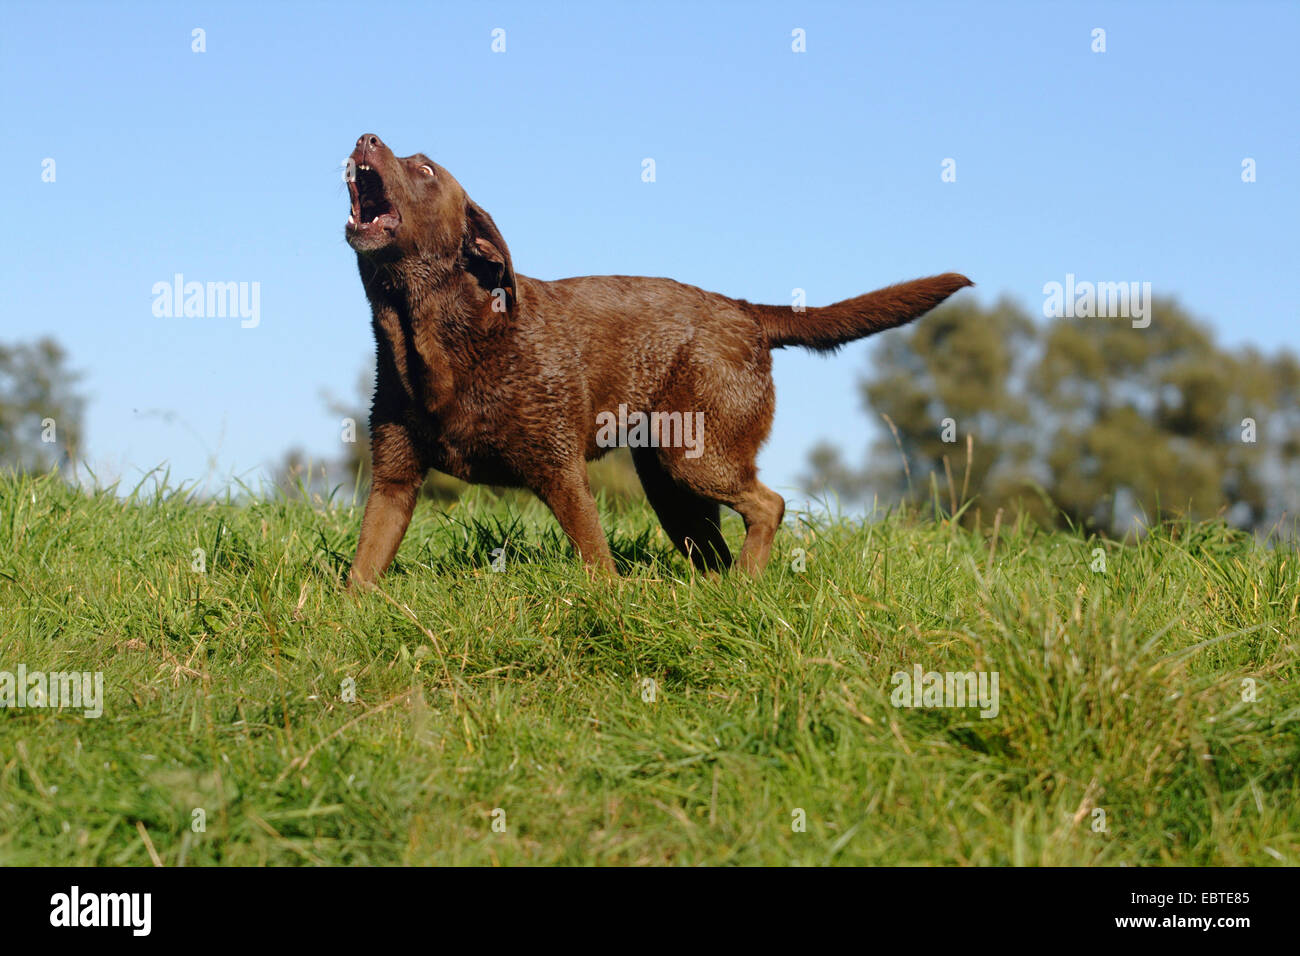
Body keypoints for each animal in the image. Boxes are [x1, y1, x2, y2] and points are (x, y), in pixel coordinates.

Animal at [340, 133, 972, 582]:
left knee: (769, 504)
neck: (434, 337)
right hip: (672, 486)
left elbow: (597, 561)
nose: (366, 137)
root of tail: (746, 310)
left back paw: (747, 586)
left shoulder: (559, 469)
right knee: (716, 548)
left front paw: (609, 603)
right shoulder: (394, 481)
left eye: (425, 170)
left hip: (695, 459)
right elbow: (363, 568)